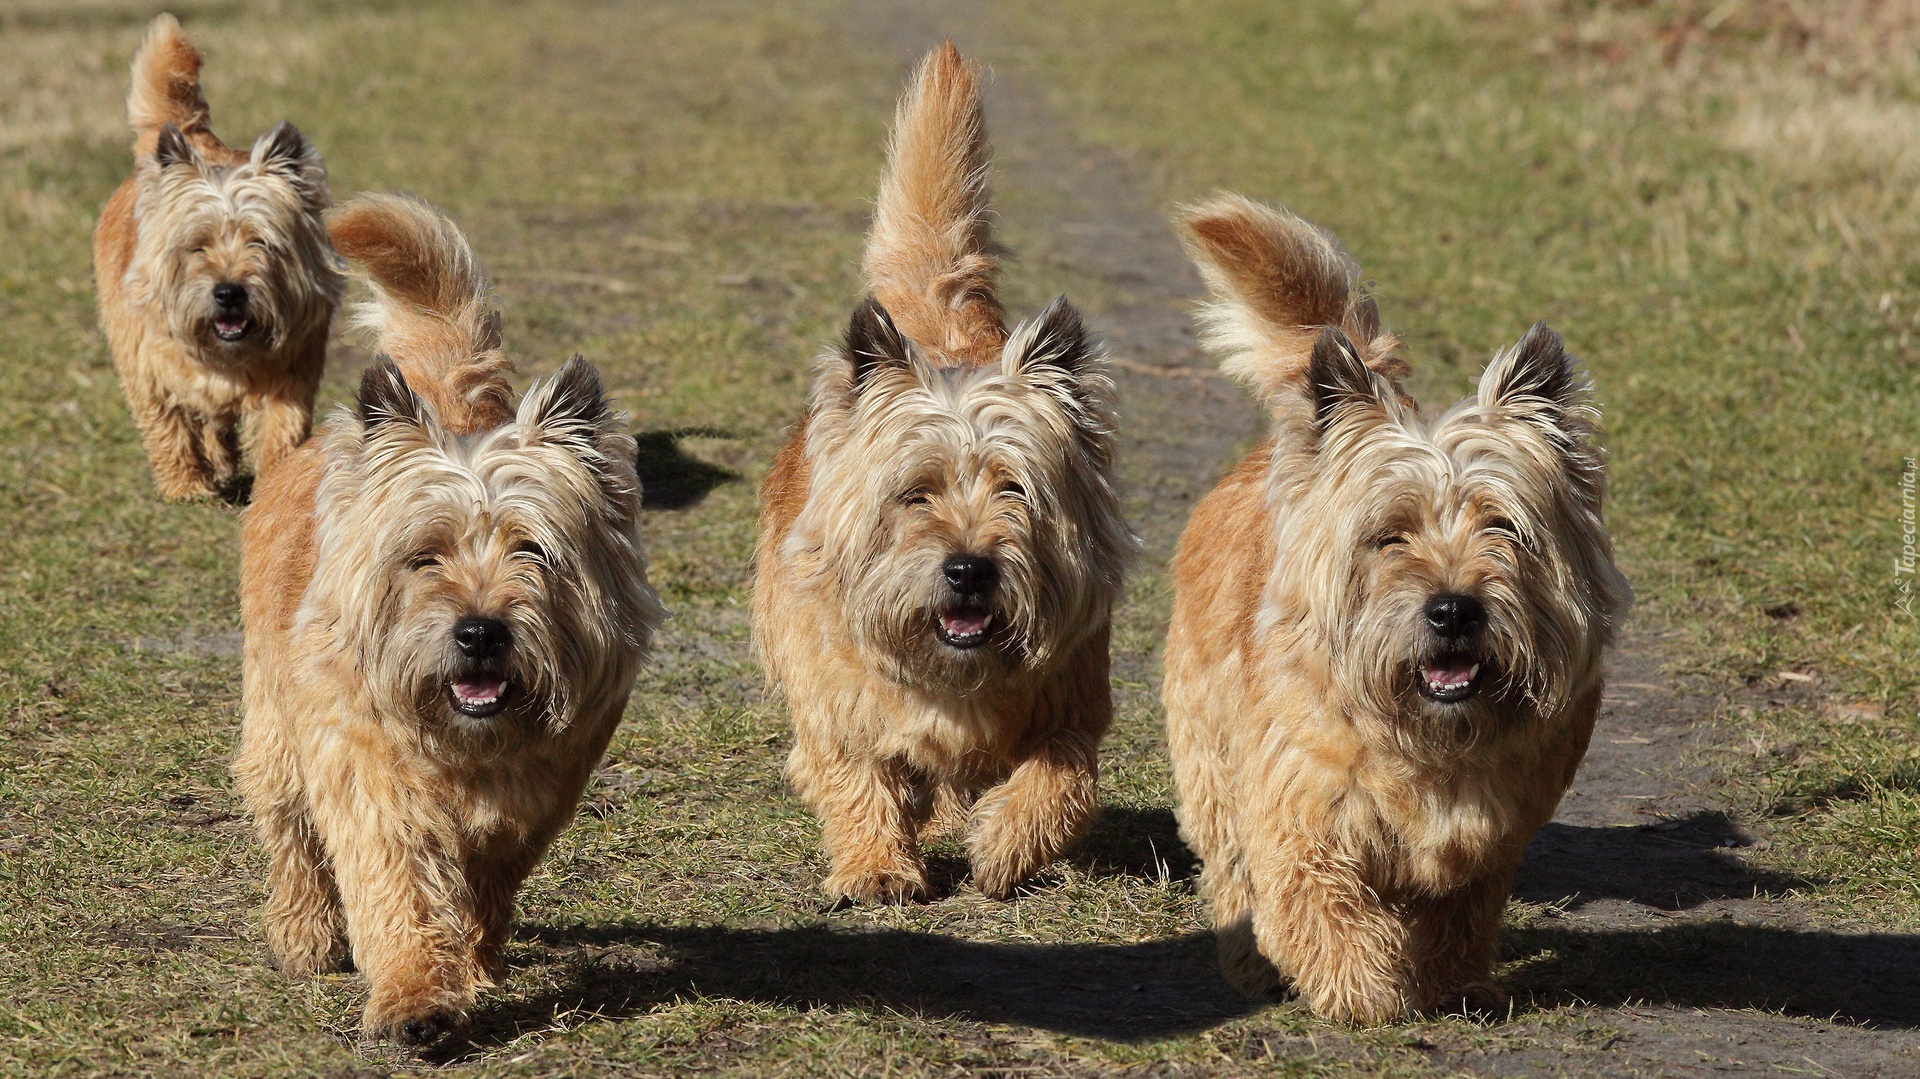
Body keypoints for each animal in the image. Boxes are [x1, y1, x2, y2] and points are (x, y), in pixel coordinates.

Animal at [91, 12, 341, 499]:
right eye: (197, 245)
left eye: (260, 242)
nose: (228, 292)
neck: (230, 359)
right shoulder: (146, 370)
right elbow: (168, 425)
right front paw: (185, 486)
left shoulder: (294, 371)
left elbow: (281, 429)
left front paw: (276, 483)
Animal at [234, 192, 660, 1044]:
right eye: (423, 556)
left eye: (534, 549)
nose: (480, 630)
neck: (469, 748)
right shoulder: (365, 773)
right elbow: (396, 883)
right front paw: (416, 996)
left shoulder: (544, 790)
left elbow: (490, 874)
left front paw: (474, 954)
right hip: (273, 721)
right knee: (290, 827)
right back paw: (304, 933)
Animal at [748, 44, 1136, 898]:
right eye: (913, 494)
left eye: (1014, 487)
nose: (967, 569)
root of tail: (933, 312)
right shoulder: (835, 702)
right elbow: (856, 774)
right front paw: (875, 863)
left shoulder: (1072, 693)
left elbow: (1062, 778)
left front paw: (1007, 844)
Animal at [1159, 194, 1628, 1021]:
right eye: (1390, 535)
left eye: (1502, 526)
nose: (1453, 610)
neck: (1430, 743)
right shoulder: (1300, 814)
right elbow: (1321, 907)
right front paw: (1366, 987)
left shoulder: (1488, 839)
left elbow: (1458, 913)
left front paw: (1445, 981)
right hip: (1209, 748)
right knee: (1229, 864)